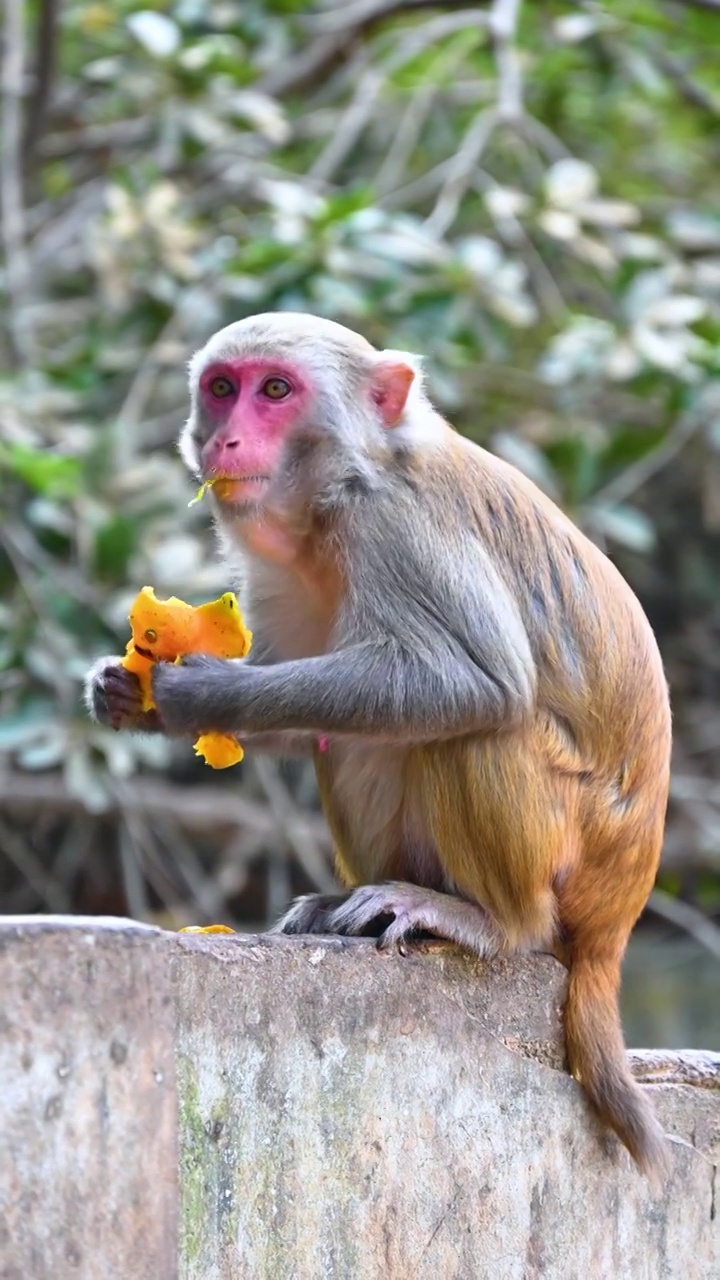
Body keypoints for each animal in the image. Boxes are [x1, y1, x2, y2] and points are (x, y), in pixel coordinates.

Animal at [85, 309, 671, 1177]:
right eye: (222, 388)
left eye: (276, 390)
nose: (225, 439)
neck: (336, 494)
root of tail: (615, 924)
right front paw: (127, 694)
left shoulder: (396, 528)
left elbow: (473, 683)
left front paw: (198, 693)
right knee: (358, 739)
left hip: (576, 866)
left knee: (477, 731)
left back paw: (491, 922)